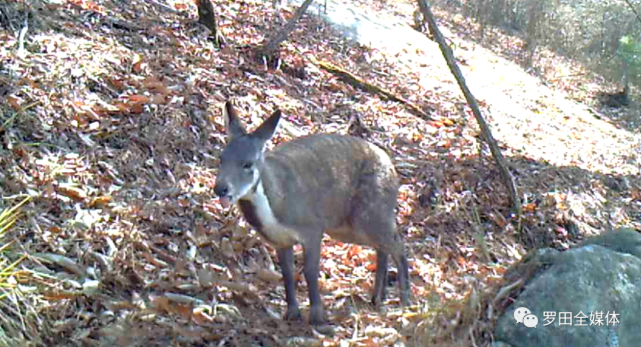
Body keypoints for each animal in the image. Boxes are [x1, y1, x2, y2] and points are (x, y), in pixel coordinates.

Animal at [215, 100, 410, 326]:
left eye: (248, 163)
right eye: (221, 158)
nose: (220, 188)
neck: (277, 207)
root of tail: (394, 171)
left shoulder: (312, 226)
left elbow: (310, 270)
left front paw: (317, 316)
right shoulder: (280, 240)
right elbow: (287, 273)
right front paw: (292, 312)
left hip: (371, 211)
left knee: (398, 245)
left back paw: (405, 301)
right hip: (348, 225)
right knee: (383, 246)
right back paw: (377, 297)